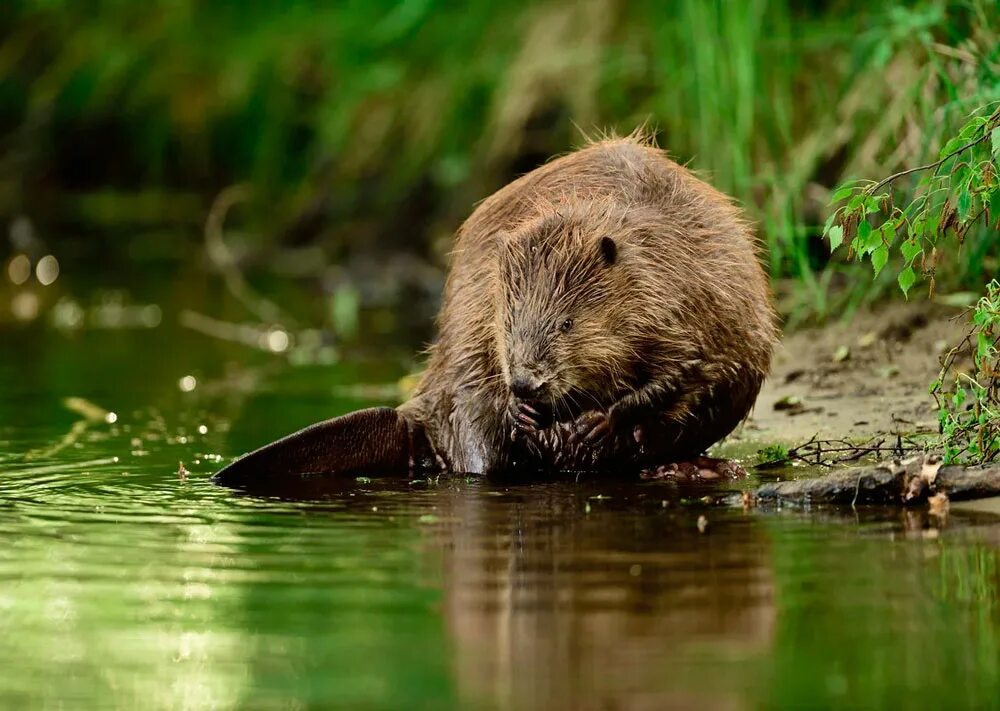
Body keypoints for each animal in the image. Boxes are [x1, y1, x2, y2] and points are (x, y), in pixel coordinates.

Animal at [215, 133, 780, 486]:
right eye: (509, 325)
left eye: (566, 323)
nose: (526, 383)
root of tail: (411, 416)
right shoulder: (483, 305)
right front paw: (527, 414)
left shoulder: (687, 291)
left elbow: (689, 369)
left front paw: (599, 424)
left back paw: (690, 467)